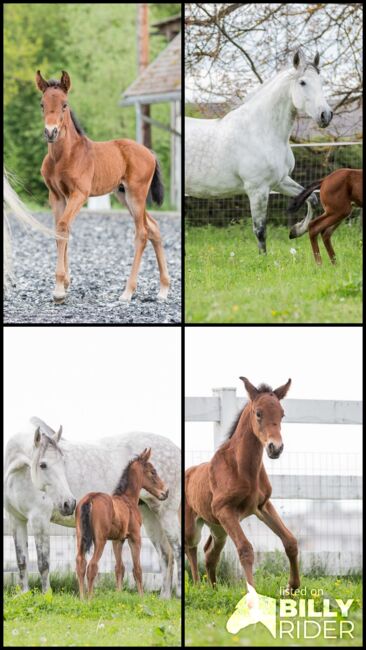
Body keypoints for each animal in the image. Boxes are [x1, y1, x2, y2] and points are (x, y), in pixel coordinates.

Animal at [35, 69, 170, 302]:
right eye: (42, 104)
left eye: (65, 104)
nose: (51, 132)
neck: (64, 156)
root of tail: (149, 153)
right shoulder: (56, 196)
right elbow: (61, 230)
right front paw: (65, 283)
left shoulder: (79, 194)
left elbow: (63, 226)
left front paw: (59, 289)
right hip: (122, 195)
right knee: (153, 227)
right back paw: (163, 289)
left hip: (136, 194)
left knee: (142, 233)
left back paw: (127, 292)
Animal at [77, 448, 170, 596]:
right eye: (153, 472)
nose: (165, 492)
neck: (128, 500)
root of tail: (90, 498)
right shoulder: (135, 538)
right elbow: (137, 569)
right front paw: (141, 596)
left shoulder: (117, 540)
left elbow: (119, 568)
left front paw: (119, 594)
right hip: (100, 540)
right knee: (92, 566)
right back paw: (90, 598)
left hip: (80, 538)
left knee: (80, 563)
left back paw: (81, 597)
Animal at [184, 49, 334, 252]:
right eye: (303, 82)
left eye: (322, 82)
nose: (326, 115)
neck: (262, 131)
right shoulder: (258, 189)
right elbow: (260, 231)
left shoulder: (280, 181)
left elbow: (311, 198)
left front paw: (296, 230)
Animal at [184, 374, 298, 592]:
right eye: (258, 413)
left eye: (282, 414)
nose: (275, 448)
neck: (243, 469)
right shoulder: (225, 510)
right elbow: (245, 549)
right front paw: (252, 594)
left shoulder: (262, 506)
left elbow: (290, 541)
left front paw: (292, 588)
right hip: (194, 526)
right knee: (191, 547)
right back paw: (197, 586)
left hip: (218, 528)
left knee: (210, 553)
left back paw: (213, 589)